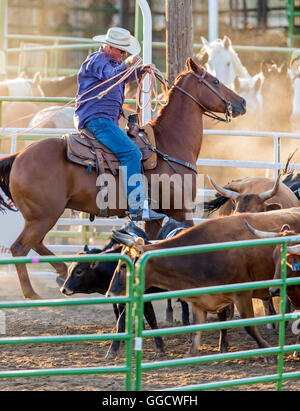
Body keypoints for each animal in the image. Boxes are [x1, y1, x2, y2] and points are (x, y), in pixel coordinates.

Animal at [0, 58, 245, 300]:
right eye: (215, 80)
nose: (241, 102)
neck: (169, 144)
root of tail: (18, 156)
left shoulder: (156, 216)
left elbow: (150, 244)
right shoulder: (180, 209)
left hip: (40, 216)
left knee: (35, 244)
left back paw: (62, 271)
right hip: (43, 216)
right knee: (20, 247)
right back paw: (32, 294)